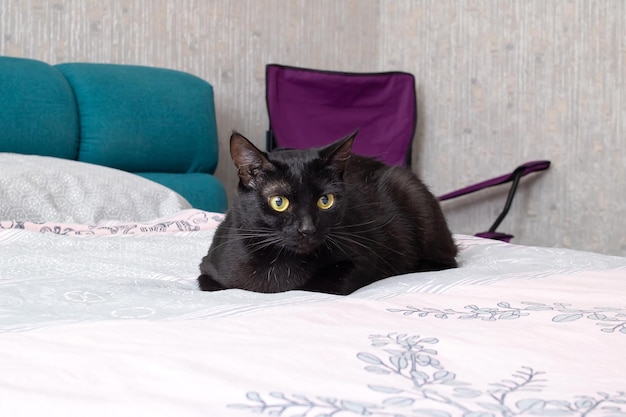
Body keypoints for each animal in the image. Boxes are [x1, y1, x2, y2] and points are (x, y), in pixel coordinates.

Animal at [197, 132, 456, 294]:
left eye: (325, 201)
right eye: (279, 202)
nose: (307, 228)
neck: (281, 263)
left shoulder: (361, 260)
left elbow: (320, 285)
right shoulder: (207, 270)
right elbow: (211, 283)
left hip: (410, 190)